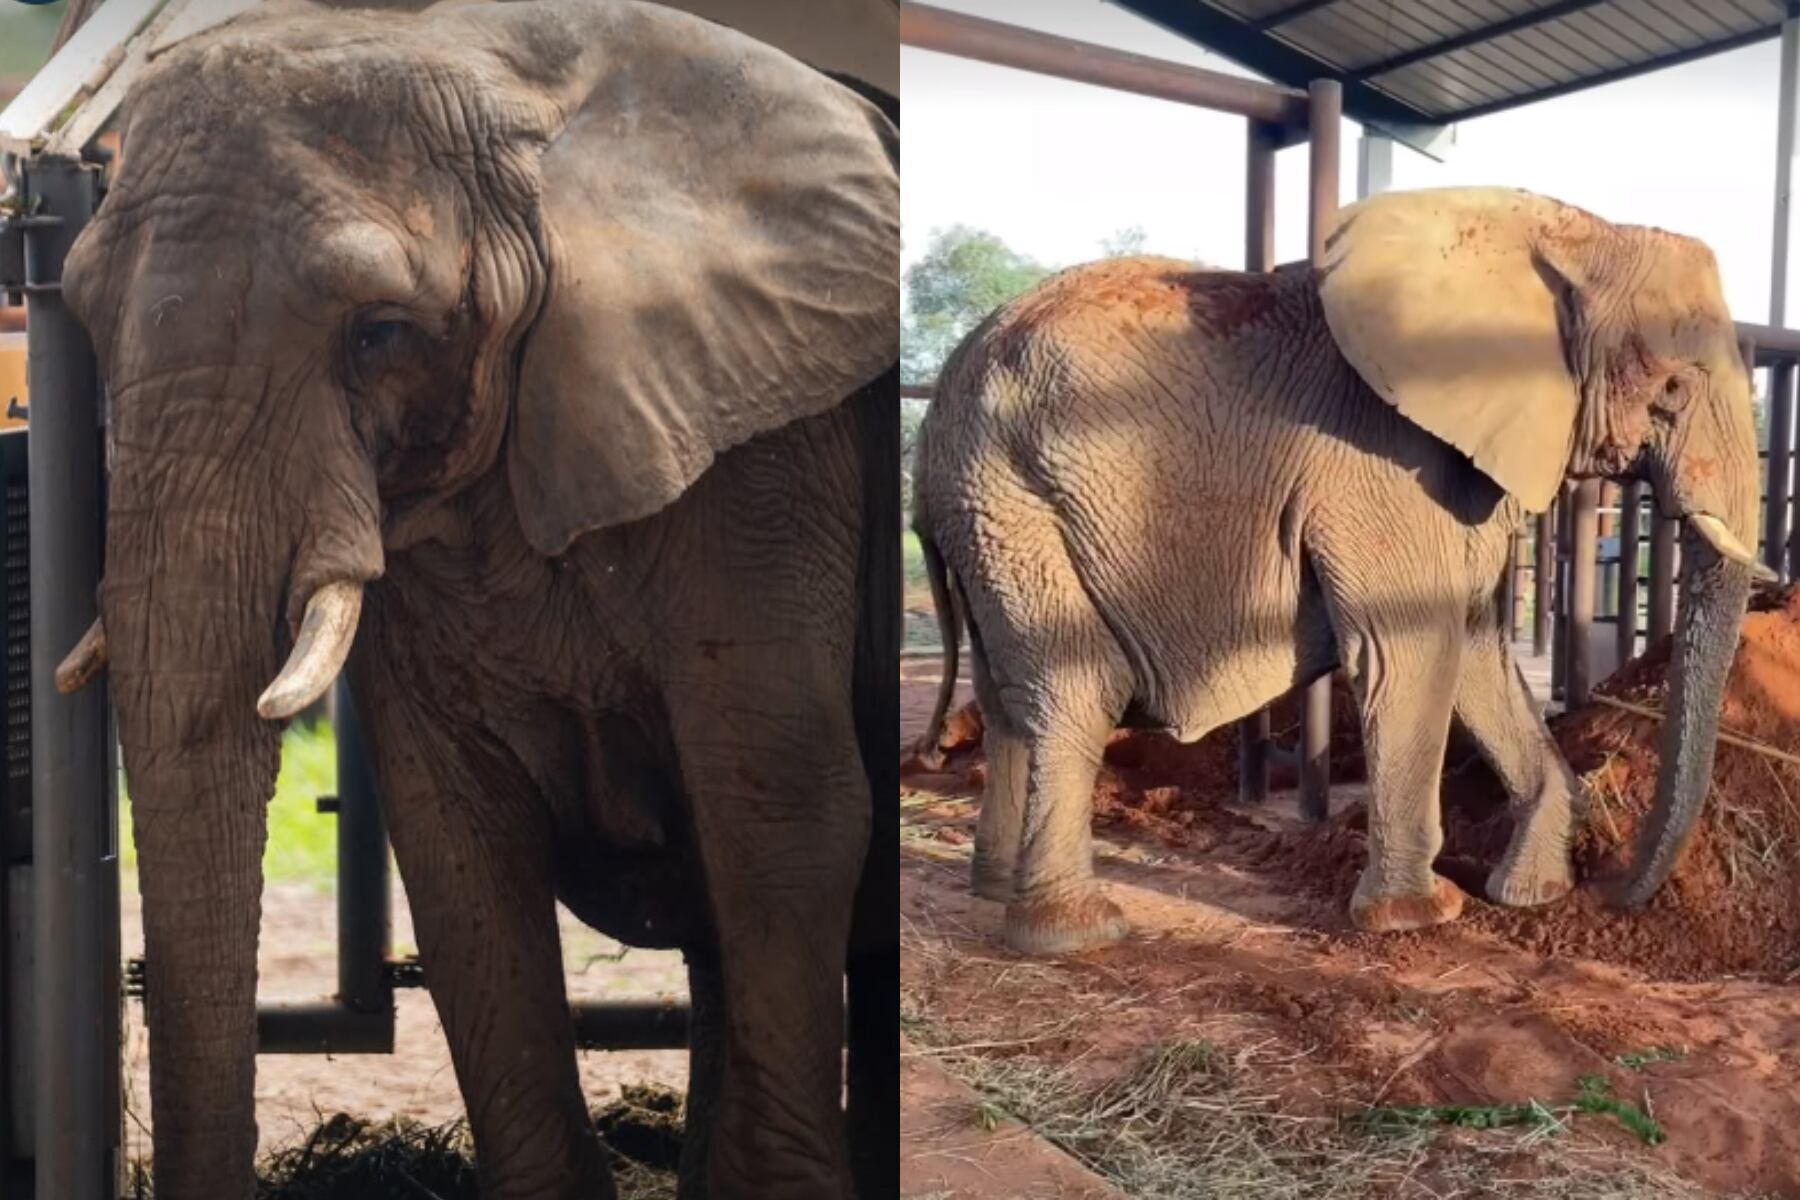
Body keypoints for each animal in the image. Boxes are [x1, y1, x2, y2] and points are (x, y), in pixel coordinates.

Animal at [913, 187, 1766, 957]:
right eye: (1672, 388)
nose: (1613, 897)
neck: (1568, 227)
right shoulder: (1381, 463)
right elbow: (1411, 648)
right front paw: (1423, 917)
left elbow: (1476, 645)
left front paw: (1531, 895)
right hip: (1009, 494)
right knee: (1074, 686)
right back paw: (1077, 934)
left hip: (986, 510)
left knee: (1007, 693)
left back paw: (995, 889)